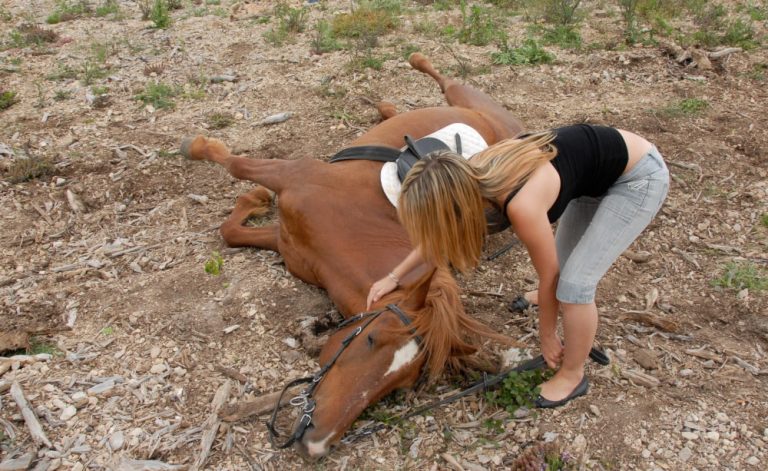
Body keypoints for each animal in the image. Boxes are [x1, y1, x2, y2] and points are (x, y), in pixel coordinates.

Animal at [182, 53, 528, 460]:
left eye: (398, 387)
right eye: (370, 339)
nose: (316, 443)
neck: (354, 226)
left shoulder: (287, 242)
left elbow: (232, 229)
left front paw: (251, 198)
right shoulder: (292, 180)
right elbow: (235, 179)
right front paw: (202, 149)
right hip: (466, 96)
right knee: (444, 78)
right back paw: (404, 80)